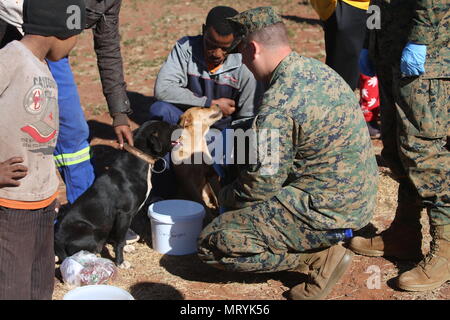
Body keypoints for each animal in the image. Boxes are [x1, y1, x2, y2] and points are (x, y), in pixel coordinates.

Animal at [54, 121, 178, 266]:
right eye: (168, 127)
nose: (180, 124)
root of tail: (57, 242)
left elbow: (119, 237)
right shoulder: (124, 214)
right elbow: (119, 241)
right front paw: (120, 261)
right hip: (91, 232)